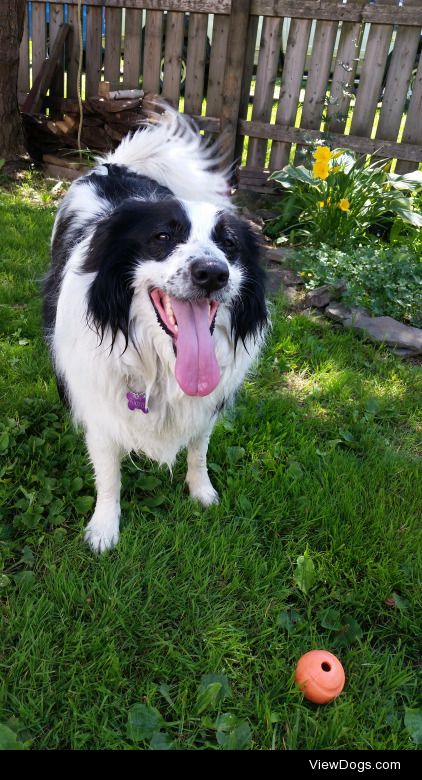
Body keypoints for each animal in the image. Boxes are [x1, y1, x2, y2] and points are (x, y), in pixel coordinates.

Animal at [42, 106, 268, 552]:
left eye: (230, 244)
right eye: (162, 236)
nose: (212, 273)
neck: (160, 366)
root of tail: (113, 167)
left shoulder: (207, 404)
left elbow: (199, 449)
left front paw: (202, 491)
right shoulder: (101, 406)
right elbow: (108, 472)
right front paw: (104, 527)